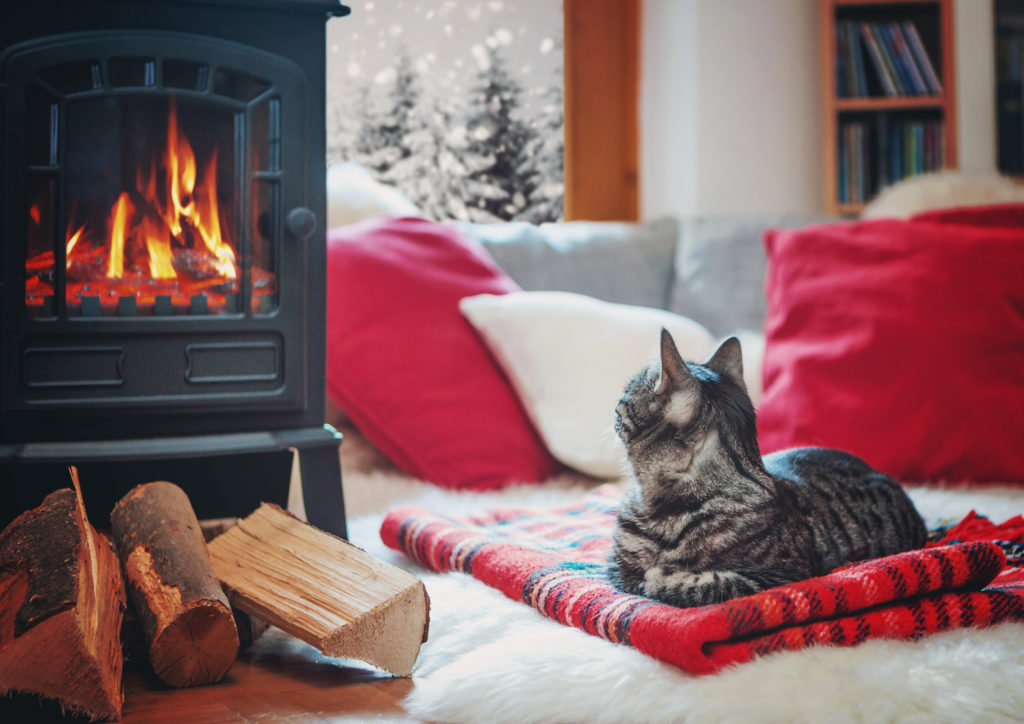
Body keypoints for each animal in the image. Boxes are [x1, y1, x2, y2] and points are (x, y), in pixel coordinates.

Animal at [606, 331, 929, 610]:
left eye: (623, 400)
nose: (613, 409)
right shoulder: (616, 566)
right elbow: (632, 574)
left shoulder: (783, 576)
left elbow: (704, 583)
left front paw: (660, 575)